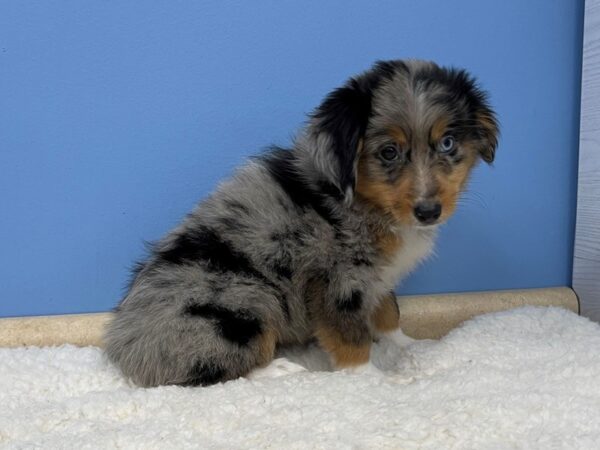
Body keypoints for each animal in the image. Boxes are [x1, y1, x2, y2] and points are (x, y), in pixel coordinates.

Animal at [103, 59, 496, 386]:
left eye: (448, 143)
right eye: (388, 152)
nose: (429, 211)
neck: (366, 203)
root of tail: (124, 348)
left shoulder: (377, 278)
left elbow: (388, 313)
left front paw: (409, 346)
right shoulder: (338, 281)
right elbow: (351, 338)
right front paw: (375, 379)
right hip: (244, 298)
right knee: (214, 370)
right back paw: (280, 369)